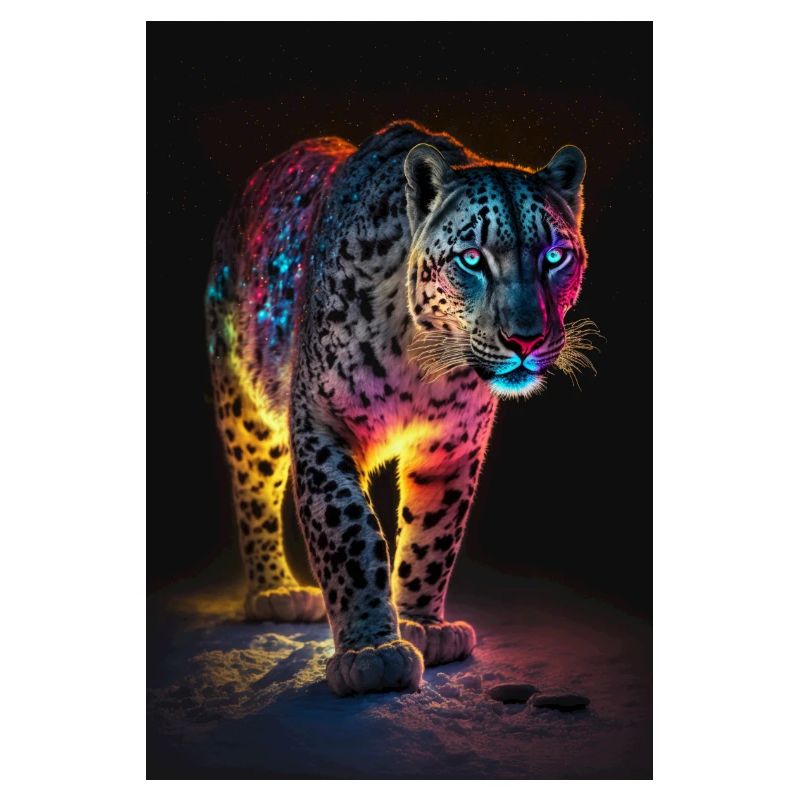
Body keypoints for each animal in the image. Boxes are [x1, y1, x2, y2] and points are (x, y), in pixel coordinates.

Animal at [205, 120, 591, 696]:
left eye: (554, 257)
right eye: (472, 259)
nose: (525, 339)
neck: (421, 356)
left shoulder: (452, 443)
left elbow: (435, 533)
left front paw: (423, 625)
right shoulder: (322, 420)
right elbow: (349, 530)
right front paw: (371, 652)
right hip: (244, 404)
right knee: (253, 489)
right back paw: (275, 591)